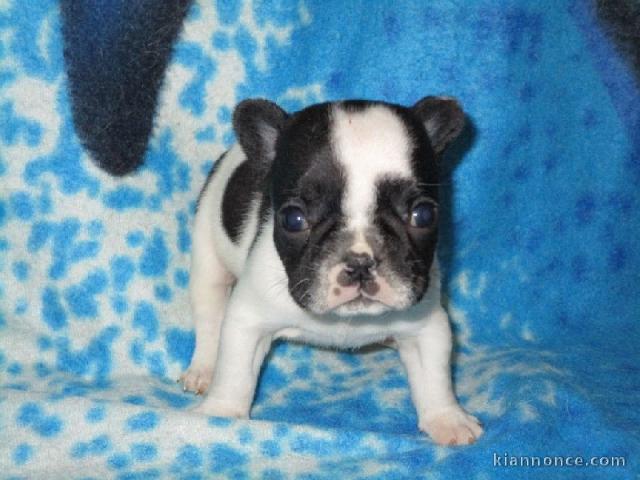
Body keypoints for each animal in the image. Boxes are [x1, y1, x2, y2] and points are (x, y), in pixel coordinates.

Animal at [179, 96, 480, 446]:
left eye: (423, 214)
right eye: (293, 219)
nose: (361, 260)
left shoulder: (426, 325)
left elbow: (435, 378)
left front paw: (448, 419)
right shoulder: (248, 319)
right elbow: (235, 371)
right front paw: (220, 414)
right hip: (208, 256)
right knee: (210, 316)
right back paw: (203, 369)